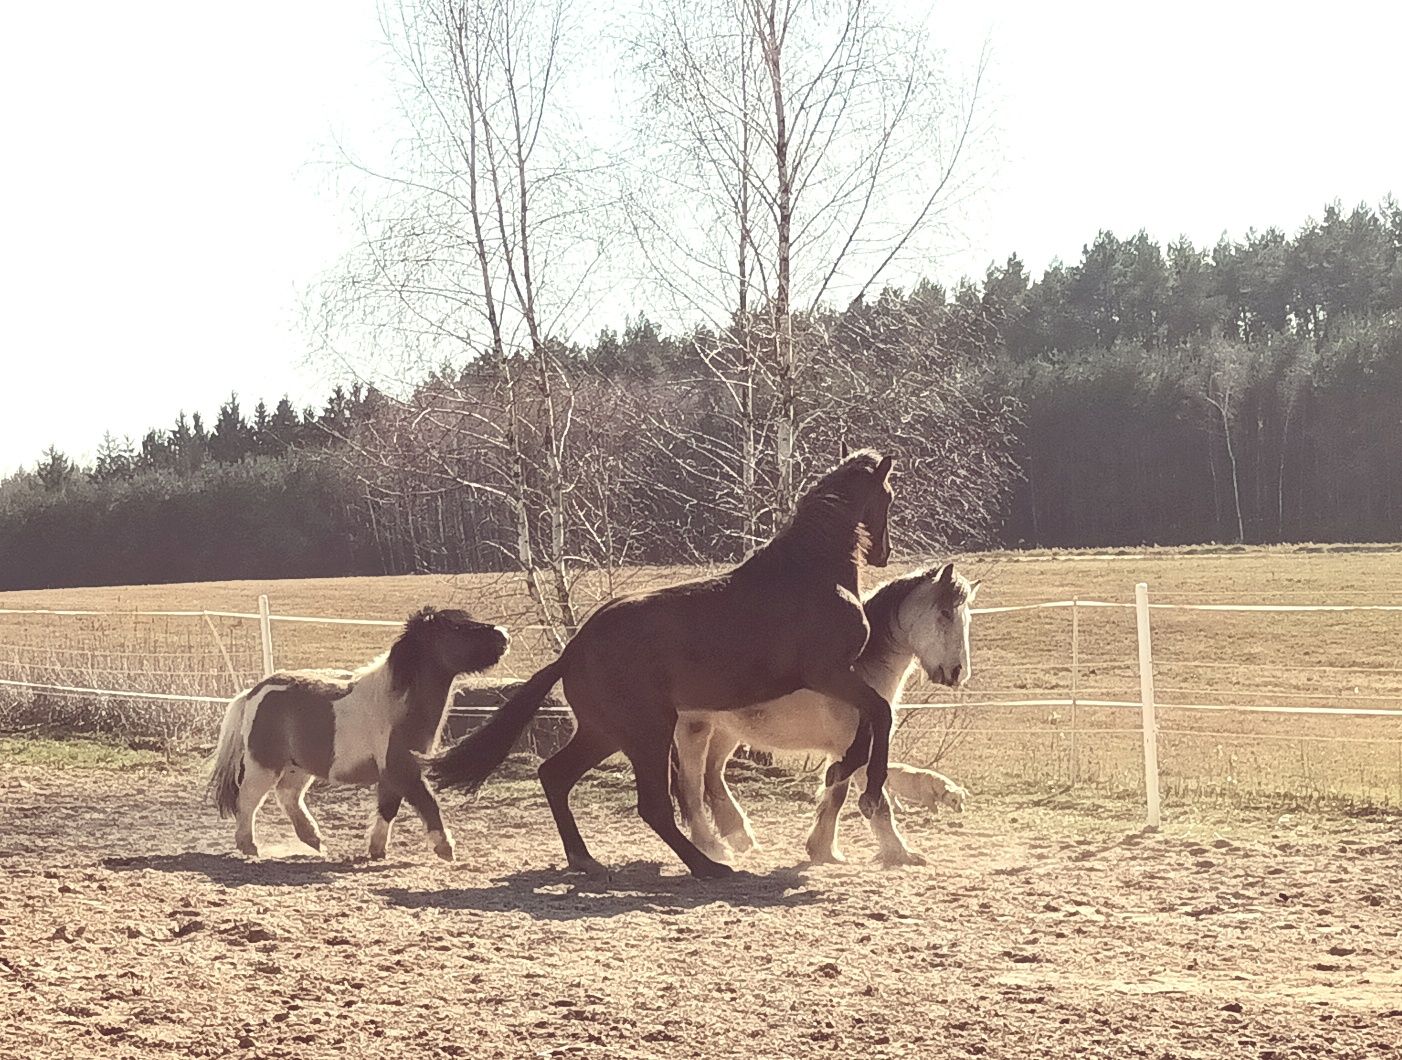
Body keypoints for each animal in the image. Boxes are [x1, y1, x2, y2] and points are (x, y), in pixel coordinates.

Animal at [204, 605, 513, 863]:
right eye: (458, 628)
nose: (504, 635)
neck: (396, 703)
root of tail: (253, 692)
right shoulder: (403, 768)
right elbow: (427, 802)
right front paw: (444, 848)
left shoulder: (391, 774)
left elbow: (388, 808)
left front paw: (376, 850)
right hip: (264, 765)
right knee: (249, 800)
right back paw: (250, 846)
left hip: (298, 767)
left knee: (288, 796)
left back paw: (315, 841)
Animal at [420, 445, 897, 880]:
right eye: (888, 495)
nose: (884, 555)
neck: (810, 573)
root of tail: (573, 650)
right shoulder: (829, 673)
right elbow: (881, 713)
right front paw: (868, 790)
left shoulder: (838, 676)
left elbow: (870, 719)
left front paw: (843, 768)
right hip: (647, 732)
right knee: (652, 806)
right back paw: (709, 866)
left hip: (604, 732)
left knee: (555, 776)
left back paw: (585, 860)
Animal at [675, 563, 975, 869]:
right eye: (945, 613)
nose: (957, 673)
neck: (859, 672)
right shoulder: (858, 749)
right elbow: (878, 804)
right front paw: (900, 853)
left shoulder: (844, 751)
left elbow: (835, 796)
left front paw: (822, 850)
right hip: (694, 729)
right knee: (692, 786)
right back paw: (712, 847)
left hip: (727, 732)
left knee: (713, 775)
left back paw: (740, 837)